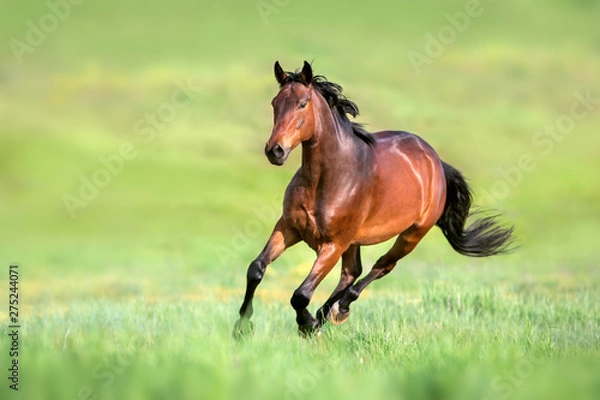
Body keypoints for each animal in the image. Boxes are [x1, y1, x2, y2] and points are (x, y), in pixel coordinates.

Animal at [232, 61, 512, 338]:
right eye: (275, 103)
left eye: (302, 103)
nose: (275, 150)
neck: (327, 179)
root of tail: (435, 161)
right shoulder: (289, 227)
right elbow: (256, 269)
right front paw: (242, 327)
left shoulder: (333, 244)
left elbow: (301, 295)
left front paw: (307, 324)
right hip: (355, 241)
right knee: (351, 273)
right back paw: (327, 314)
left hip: (411, 235)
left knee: (381, 267)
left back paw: (338, 310)